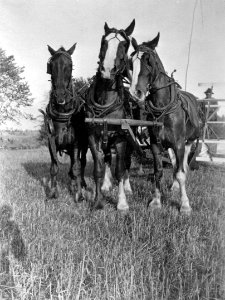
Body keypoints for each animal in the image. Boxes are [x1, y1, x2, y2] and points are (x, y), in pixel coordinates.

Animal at [41, 44, 88, 202]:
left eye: (70, 65)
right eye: (51, 65)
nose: (60, 96)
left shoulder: (76, 143)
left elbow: (76, 167)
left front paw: (79, 195)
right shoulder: (51, 141)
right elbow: (54, 167)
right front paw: (52, 193)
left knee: (81, 162)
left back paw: (81, 184)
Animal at [86, 19, 135, 212]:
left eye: (125, 44)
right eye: (103, 41)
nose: (107, 69)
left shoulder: (121, 138)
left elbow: (120, 169)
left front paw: (122, 203)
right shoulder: (93, 136)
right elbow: (98, 169)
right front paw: (98, 200)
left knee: (126, 163)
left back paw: (128, 188)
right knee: (107, 158)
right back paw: (107, 184)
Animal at [129, 34, 200, 213]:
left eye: (148, 60)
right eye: (131, 61)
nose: (135, 93)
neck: (164, 107)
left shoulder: (179, 143)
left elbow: (181, 172)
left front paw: (185, 205)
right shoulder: (155, 144)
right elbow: (158, 172)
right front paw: (156, 201)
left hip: (188, 141)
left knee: (182, 165)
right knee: (174, 163)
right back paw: (174, 186)